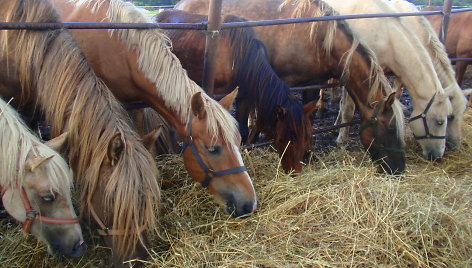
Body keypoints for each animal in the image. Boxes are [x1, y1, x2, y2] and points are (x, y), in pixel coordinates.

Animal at [154, 9, 318, 173]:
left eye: (306, 137)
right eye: (282, 138)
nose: (294, 172)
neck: (241, 58)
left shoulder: (243, 97)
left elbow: (243, 131)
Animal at [176, 0, 406, 174]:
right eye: (391, 128)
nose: (399, 169)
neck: (319, 36)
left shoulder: (312, 82)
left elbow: (307, 120)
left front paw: (307, 154)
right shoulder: (295, 84)